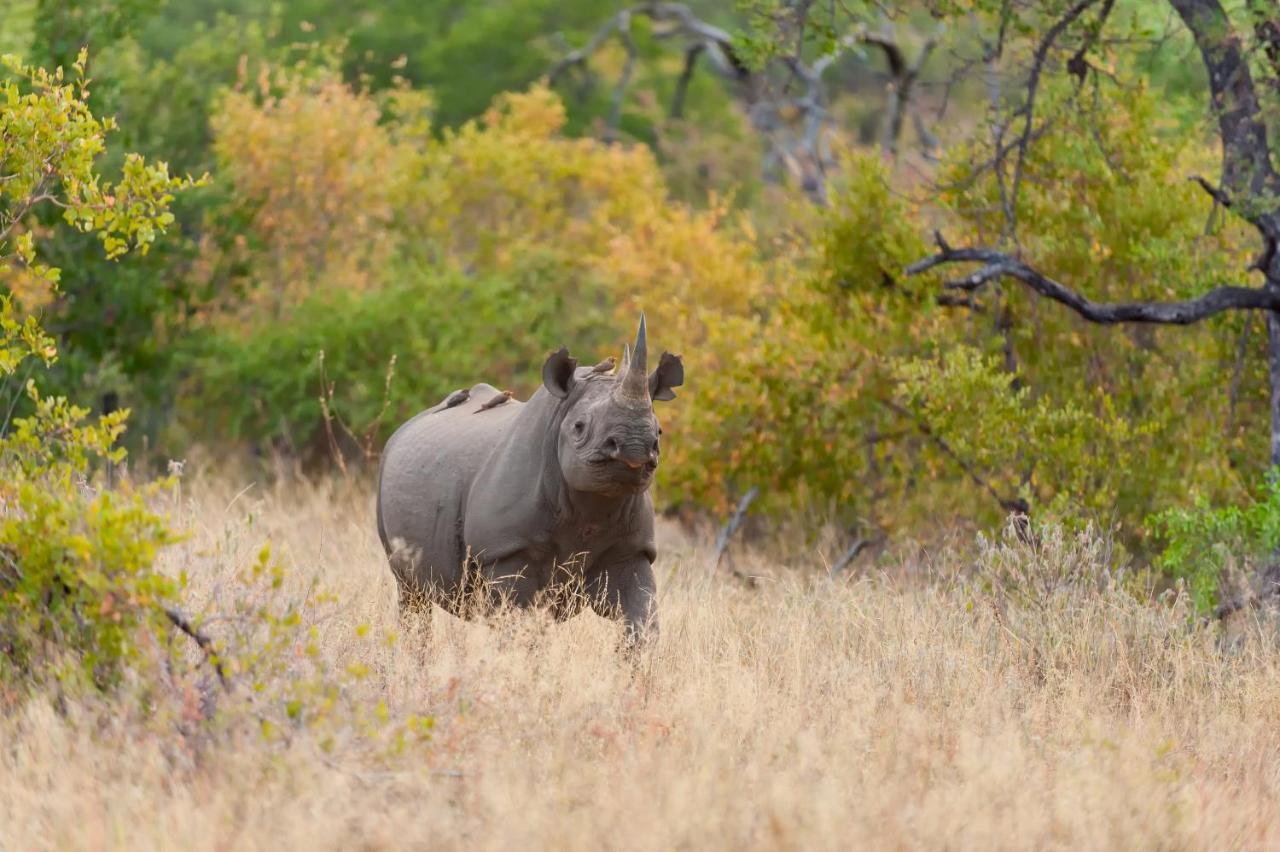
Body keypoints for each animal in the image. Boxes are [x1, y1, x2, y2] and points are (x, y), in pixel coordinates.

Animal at [373, 314, 686, 639]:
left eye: (659, 432)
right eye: (579, 427)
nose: (634, 447)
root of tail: (404, 428)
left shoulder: (632, 551)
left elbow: (642, 618)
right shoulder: (506, 550)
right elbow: (515, 624)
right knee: (411, 593)